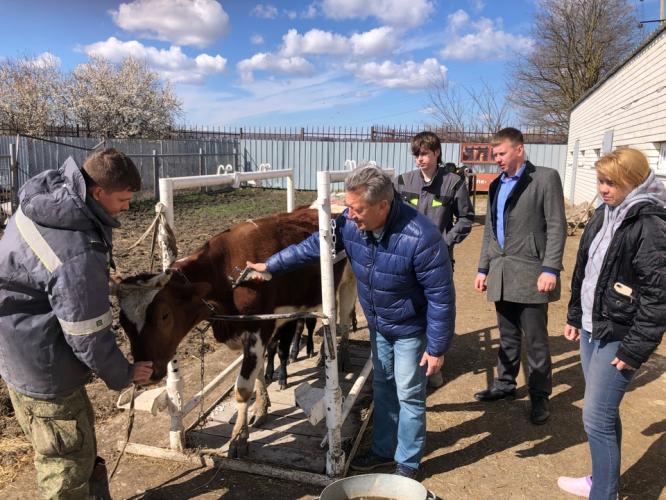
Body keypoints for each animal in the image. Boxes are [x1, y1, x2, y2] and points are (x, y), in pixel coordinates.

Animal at [115, 206, 356, 458]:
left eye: (164, 315)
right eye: (122, 322)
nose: (145, 374)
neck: (225, 274)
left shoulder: (258, 329)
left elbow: (242, 388)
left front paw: (239, 438)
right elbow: (258, 374)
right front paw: (261, 408)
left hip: (348, 280)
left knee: (345, 318)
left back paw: (342, 356)